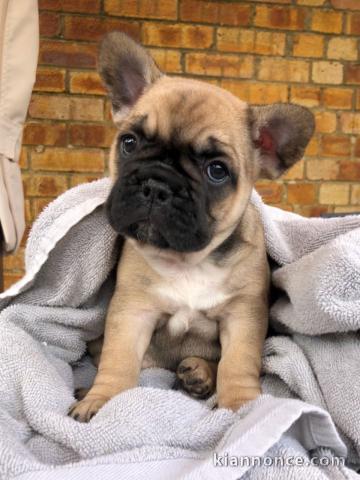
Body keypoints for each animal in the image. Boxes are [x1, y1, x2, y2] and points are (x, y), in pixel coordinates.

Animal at [69, 30, 314, 422]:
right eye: (129, 142)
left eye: (217, 170)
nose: (157, 184)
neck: (188, 261)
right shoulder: (132, 309)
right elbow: (118, 358)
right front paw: (102, 400)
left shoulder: (243, 315)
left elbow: (237, 363)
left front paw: (242, 406)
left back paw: (200, 373)